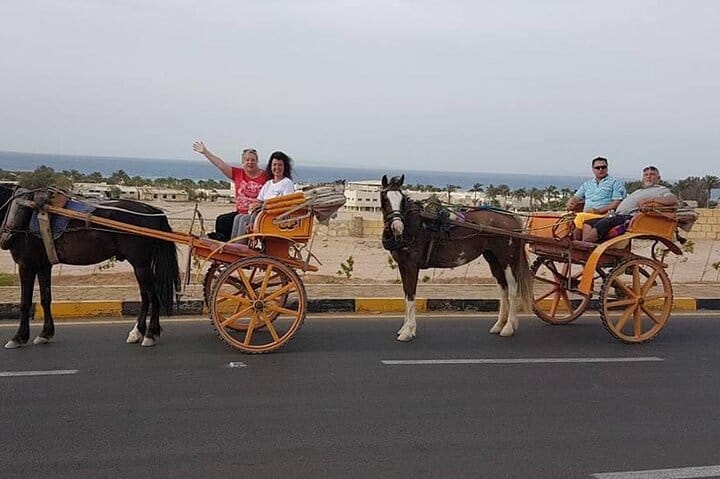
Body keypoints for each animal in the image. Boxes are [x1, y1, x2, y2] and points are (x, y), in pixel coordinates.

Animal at [0, 184, 180, 348]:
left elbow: (25, 302)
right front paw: (45, 333)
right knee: (145, 296)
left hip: (140, 264)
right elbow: (45, 298)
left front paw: (18, 337)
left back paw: (150, 334)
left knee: (153, 297)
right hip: (140, 265)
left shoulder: (26, 264)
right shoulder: (43, 265)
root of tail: (151, 210)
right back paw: (137, 333)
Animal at [380, 175, 533, 341]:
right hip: (494, 261)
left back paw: (509, 327)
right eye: (385, 199)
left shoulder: (412, 266)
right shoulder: (403, 266)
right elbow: (405, 294)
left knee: (512, 289)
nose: (397, 227)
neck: (415, 226)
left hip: (507, 261)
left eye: (401, 200)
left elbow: (410, 295)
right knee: (503, 289)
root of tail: (509, 217)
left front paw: (408, 331)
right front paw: (405, 328)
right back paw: (499, 325)